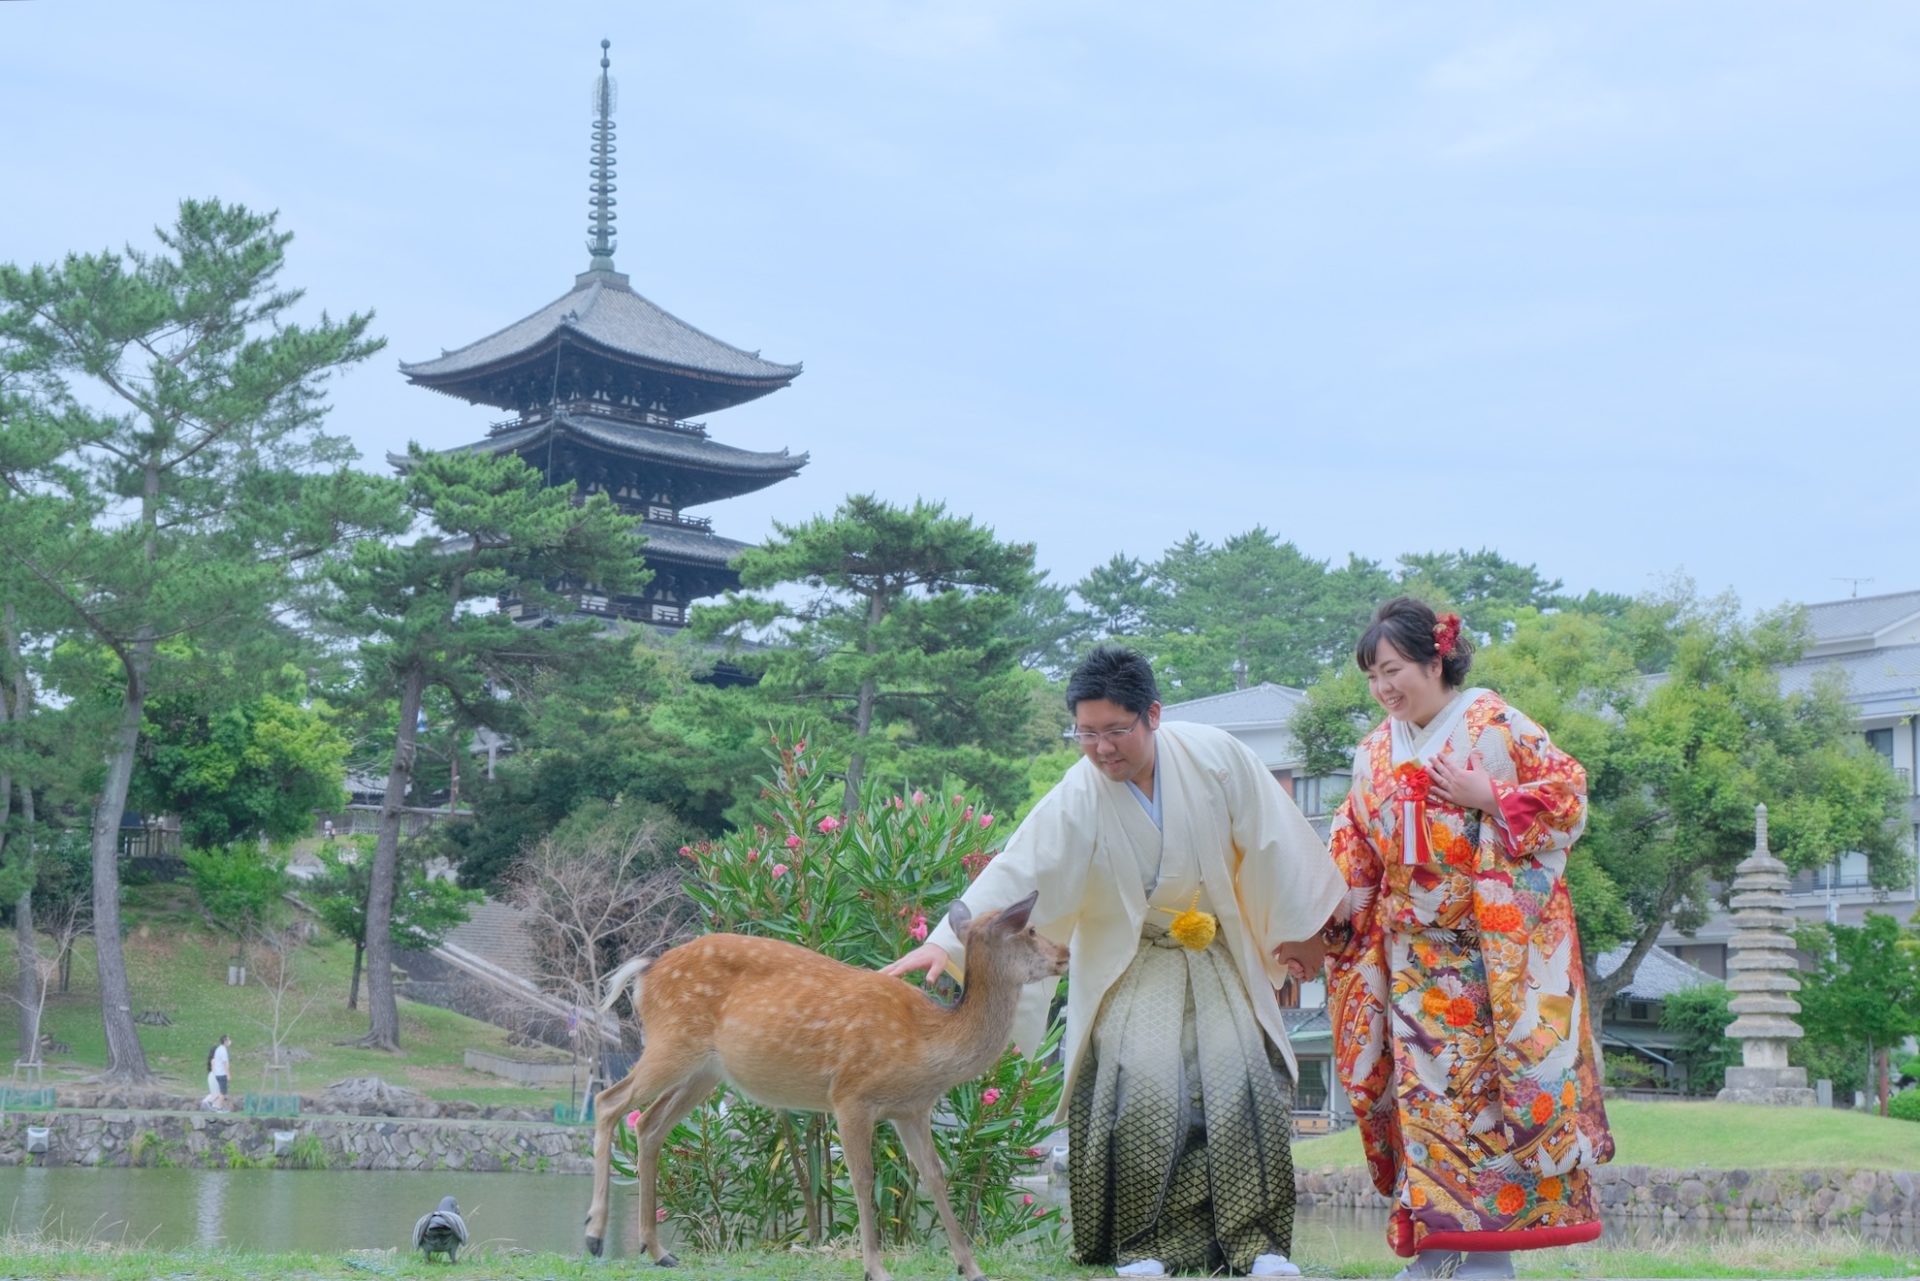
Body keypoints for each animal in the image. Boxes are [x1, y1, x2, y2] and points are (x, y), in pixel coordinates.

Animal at [579, 891, 1067, 1281]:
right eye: (1030, 929)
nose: (1064, 952)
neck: (929, 1042)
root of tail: (647, 971)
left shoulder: (913, 1108)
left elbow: (934, 1175)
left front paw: (971, 1266)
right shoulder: (851, 1095)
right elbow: (863, 1177)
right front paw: (875, 1268)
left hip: (706, 1072)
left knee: (649, 1125)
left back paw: (658, 1250)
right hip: (672, 1042)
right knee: (608, 1100)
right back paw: (595, 1234)